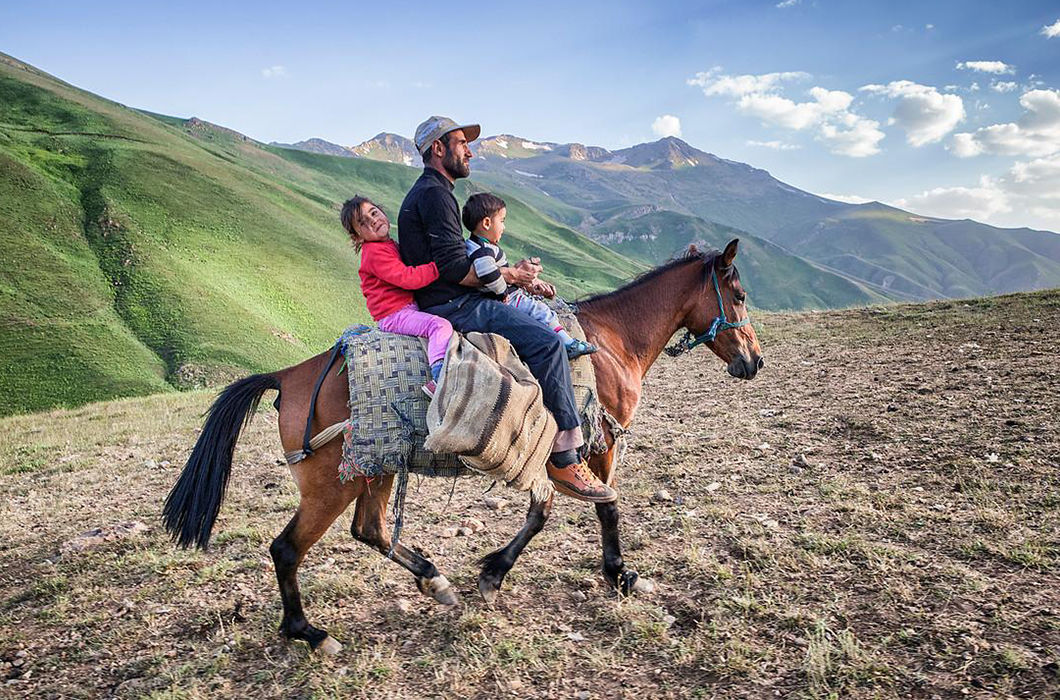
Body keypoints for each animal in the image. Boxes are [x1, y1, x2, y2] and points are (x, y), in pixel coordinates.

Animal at [161, 237, 763, 653]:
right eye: (738, 295)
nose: (754, 361)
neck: (611, 341)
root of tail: (289, 376)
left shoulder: (546, 454)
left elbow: (541, 510)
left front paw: (492, 572)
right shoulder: (596, 444)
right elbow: (606, 504)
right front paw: (618, 574)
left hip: (375, 468)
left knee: (371, 530)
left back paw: (435, 581)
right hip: (331, 485)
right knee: (288, 549)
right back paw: (310, 633)